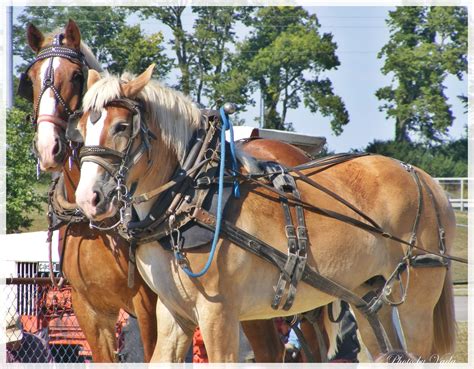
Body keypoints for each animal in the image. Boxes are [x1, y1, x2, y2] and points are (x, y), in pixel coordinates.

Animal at [73, 64, 456, 360]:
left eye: (121, 127)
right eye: (81, 129)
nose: (88, 198)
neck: (190, 195)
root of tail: (422, 177)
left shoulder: (218, 316)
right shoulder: (173, 314)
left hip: (417, 300)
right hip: (368, 298)